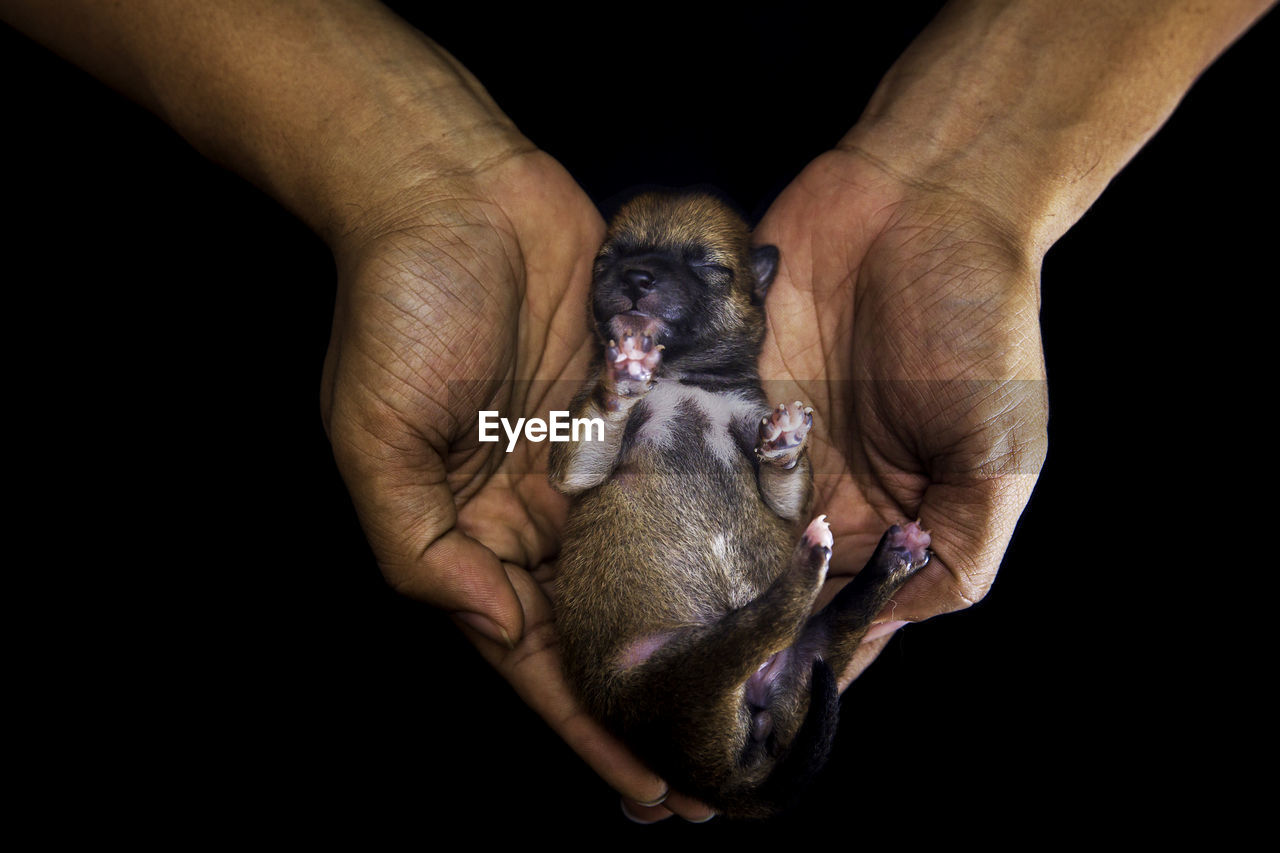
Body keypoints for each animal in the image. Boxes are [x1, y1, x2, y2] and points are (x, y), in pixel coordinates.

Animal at [550, 192, 931, 819]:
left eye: (705, 265)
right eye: (611, 257)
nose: (636, 277)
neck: (683, 378)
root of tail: (710, 772)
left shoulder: (773, 466)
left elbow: (787, 488)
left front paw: (785, 444)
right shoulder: (576, 461)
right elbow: (585, 449)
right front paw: (624, 371)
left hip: (796, 663)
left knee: (825, 625)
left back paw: (891, 558)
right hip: (682, 672)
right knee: (764, 620)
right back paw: (816, 565)